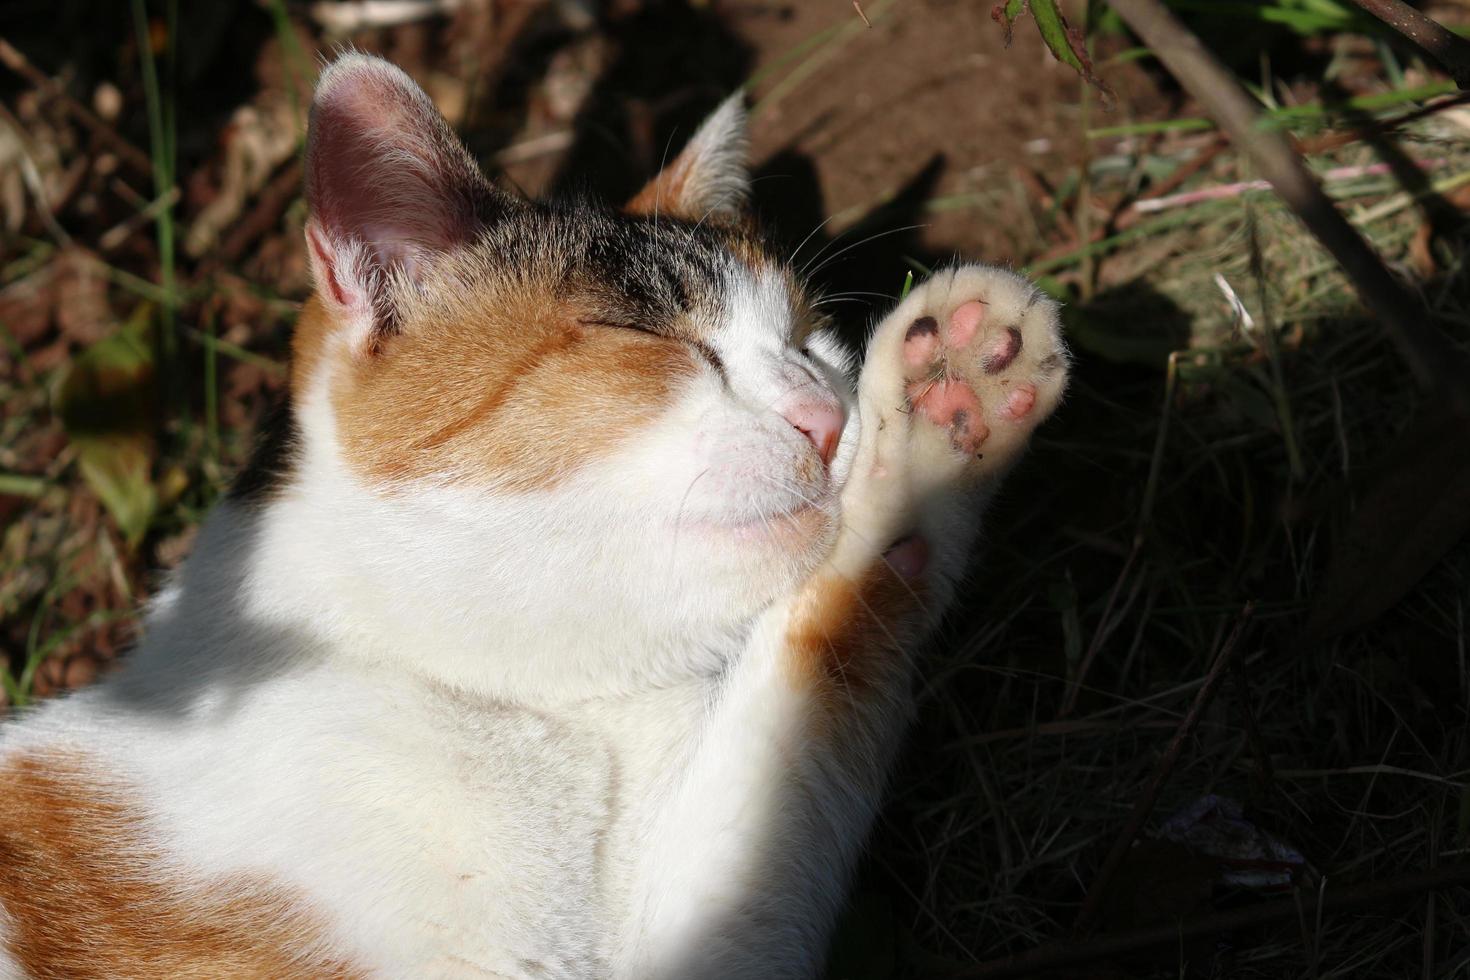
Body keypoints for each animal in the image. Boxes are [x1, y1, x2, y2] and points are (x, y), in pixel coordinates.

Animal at [0, 55, 1070, 980]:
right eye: (649, 339)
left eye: (813, 341)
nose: (829, 413)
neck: (512, 703)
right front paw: (930, 403)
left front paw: (948, 406)